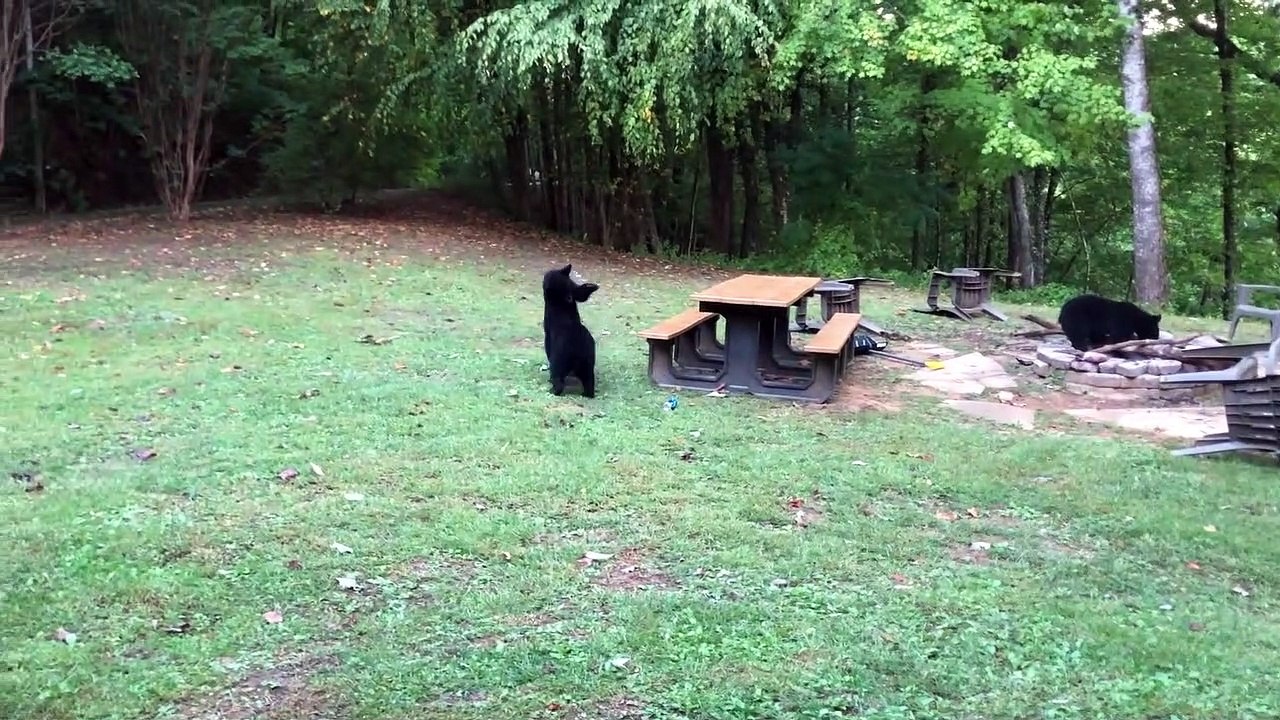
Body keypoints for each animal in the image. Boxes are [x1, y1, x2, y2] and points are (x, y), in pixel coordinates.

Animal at [541, 264, 600, 397]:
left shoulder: (548, 336)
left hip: (559, 361)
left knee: (558, 381)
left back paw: (552, 390)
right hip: (588, 364)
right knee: (589, 382)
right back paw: (586, 394)